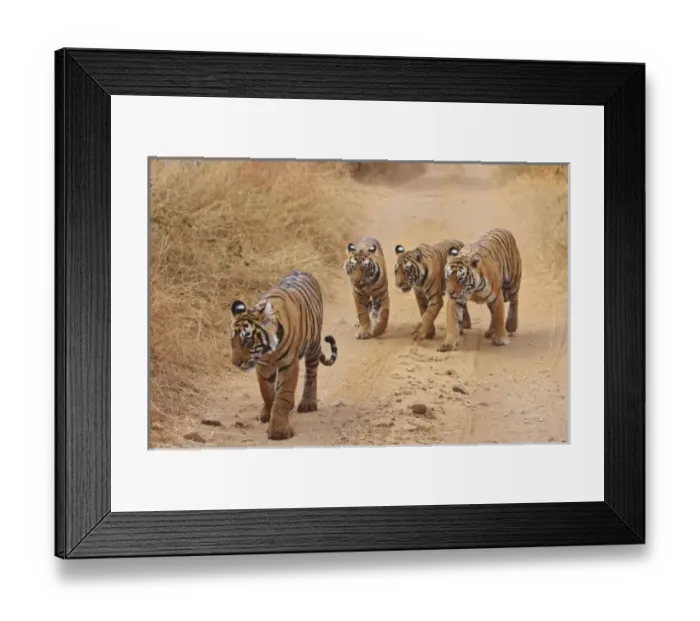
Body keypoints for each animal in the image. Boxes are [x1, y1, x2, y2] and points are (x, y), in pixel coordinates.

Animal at [229, 270, 338, 441]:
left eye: (247, 340)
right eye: (232, 341)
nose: (235, 363)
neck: (269, 350)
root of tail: (302, 270)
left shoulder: (289, 364)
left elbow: (282, 397)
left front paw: (278, 431)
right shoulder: (263, 366)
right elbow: (267, 392)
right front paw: (267, 413)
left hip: (313, 345)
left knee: (311, 374)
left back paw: (308, 403)